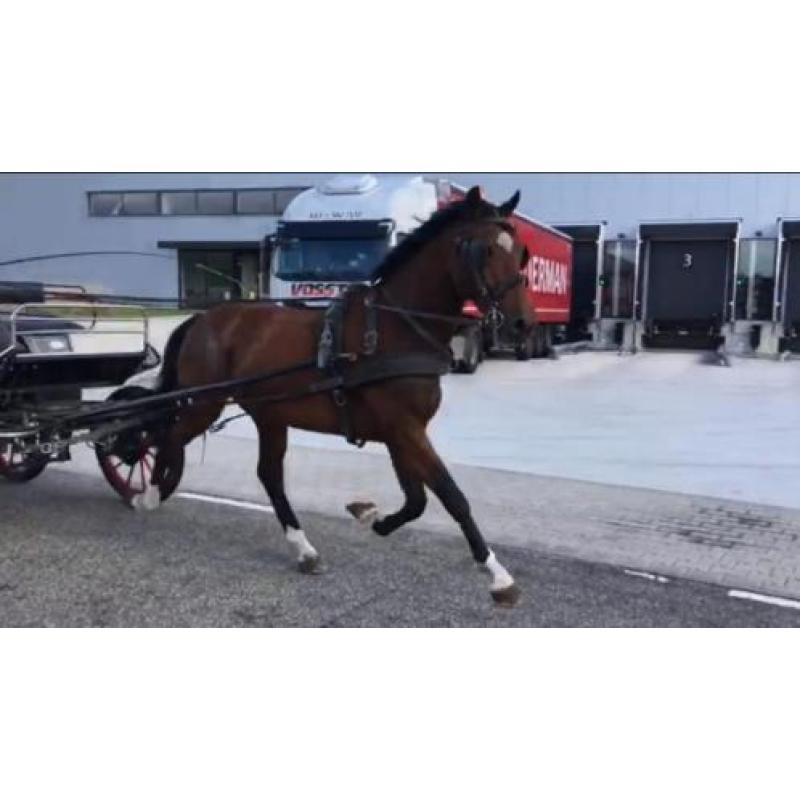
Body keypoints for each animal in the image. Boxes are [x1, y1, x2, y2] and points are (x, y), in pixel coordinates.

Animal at [143, 186, 536, 606]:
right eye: (485, 251)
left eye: (521, 253)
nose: (524, 324)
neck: (397, 327)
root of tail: (202, 318)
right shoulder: (406, 428)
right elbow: (451, 494)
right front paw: (497, 575)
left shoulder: (400, 432)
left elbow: (417, 499)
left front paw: (374, 518)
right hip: (204, 403)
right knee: (168, 436)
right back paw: (148, 493)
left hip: (269, 413)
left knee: (268, 475)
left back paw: (304, 549)